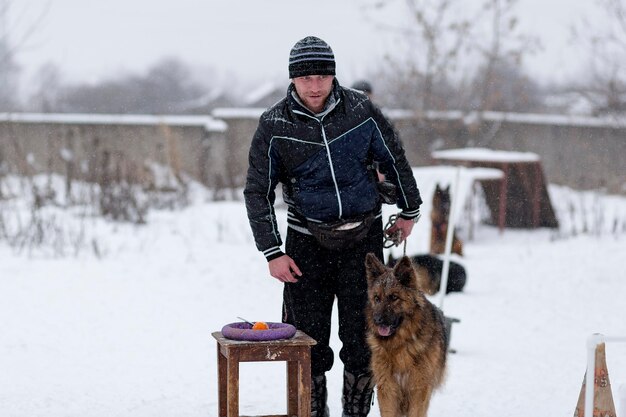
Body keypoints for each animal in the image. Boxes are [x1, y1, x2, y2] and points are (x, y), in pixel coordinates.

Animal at [364, 254, 446, 416]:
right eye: (376, 298)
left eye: (394, 297)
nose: (377, 321)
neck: (400, 345)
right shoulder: (387, 389)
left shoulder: (418, 390)